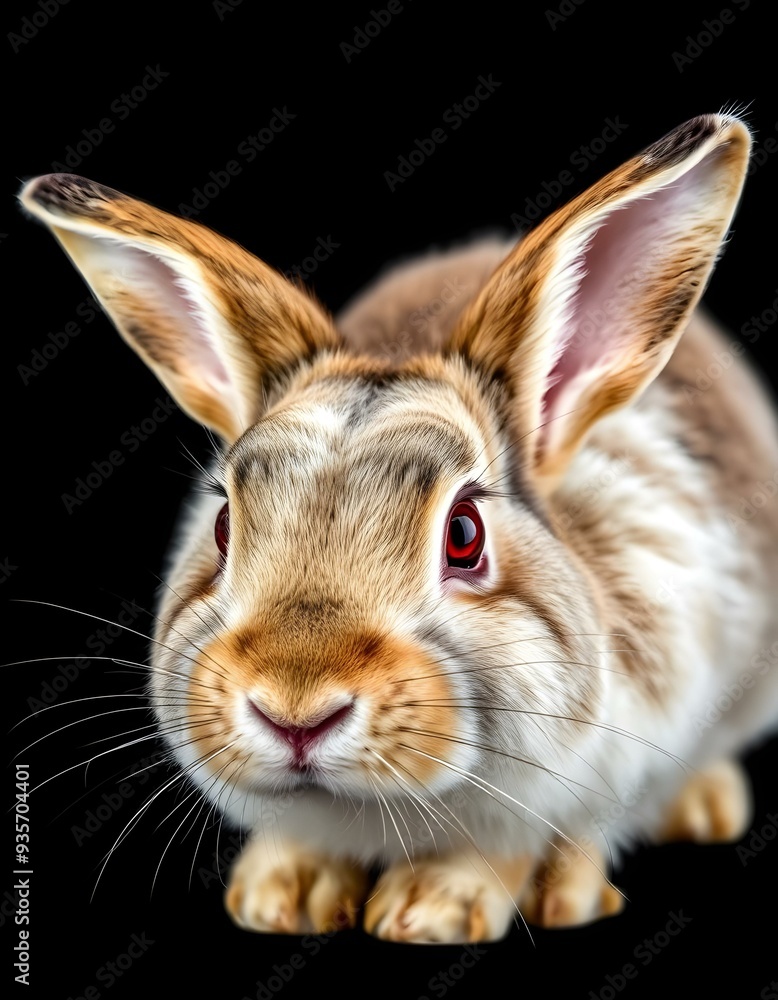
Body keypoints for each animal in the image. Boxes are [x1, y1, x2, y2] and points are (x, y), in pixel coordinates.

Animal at [19, 111, 778, 944]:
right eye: (222, 525)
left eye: (465, 535)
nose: (295, 713)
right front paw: (281, 897)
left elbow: (526, 839)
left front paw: (435, 910)